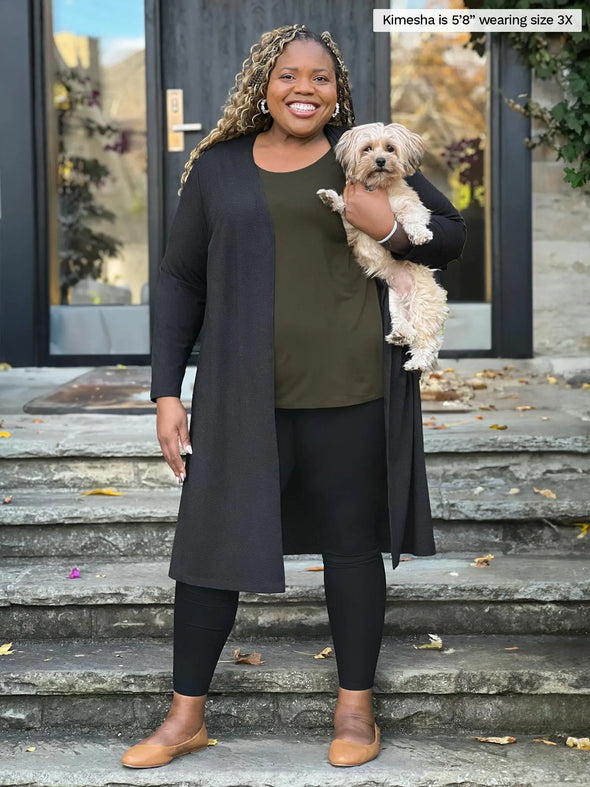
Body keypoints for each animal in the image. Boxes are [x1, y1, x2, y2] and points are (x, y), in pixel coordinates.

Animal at [320, 121, 448, 372]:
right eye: (367, 149)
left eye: (390, 148)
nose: (380, 161)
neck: (379, 188)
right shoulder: (352, 228)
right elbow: (344, 210)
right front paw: (332, 199)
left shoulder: (411, 205)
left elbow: (412, 218)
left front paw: (420, 234)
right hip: (395, 303)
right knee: (408, 327)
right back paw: (400, 335)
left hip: (422, 303)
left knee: (428, 339)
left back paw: (417, 361)